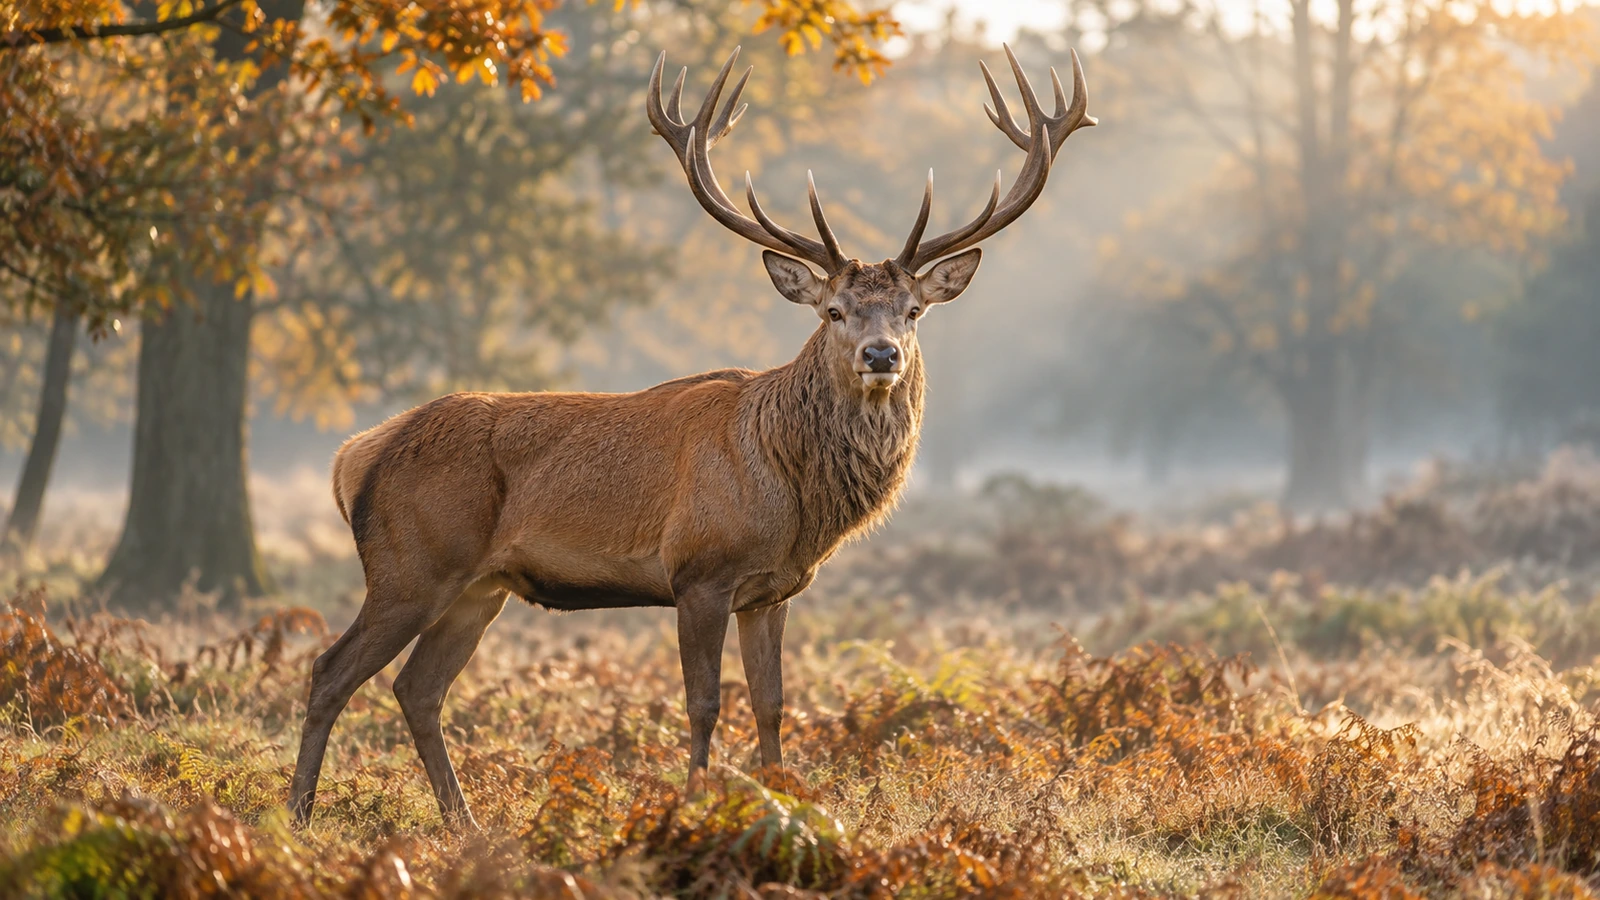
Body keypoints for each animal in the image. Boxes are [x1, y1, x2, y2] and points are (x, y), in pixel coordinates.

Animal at [288, 43, 1095, 828]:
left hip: (477, 588)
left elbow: (772, 704)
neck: (793, 496)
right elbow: (704, 703)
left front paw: (785, 802)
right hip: (411, 565)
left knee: (417, 689)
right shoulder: (698, 572)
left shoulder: (772, 591)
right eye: (833, 311)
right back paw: (298, 816)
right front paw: (694, 804)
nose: (881, 355)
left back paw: (466, 826)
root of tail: (356, 455)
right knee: (331, 670)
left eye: (913, 311)